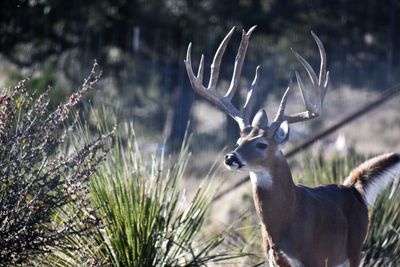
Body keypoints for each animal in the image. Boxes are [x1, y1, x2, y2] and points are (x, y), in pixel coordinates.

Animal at [184, 25, 400, 267]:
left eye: (262, 144)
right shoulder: (273, 258)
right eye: (239, 141)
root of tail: (353, 188)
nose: (231, 157)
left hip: (355, 249)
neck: (287, 220)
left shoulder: (313, 257)